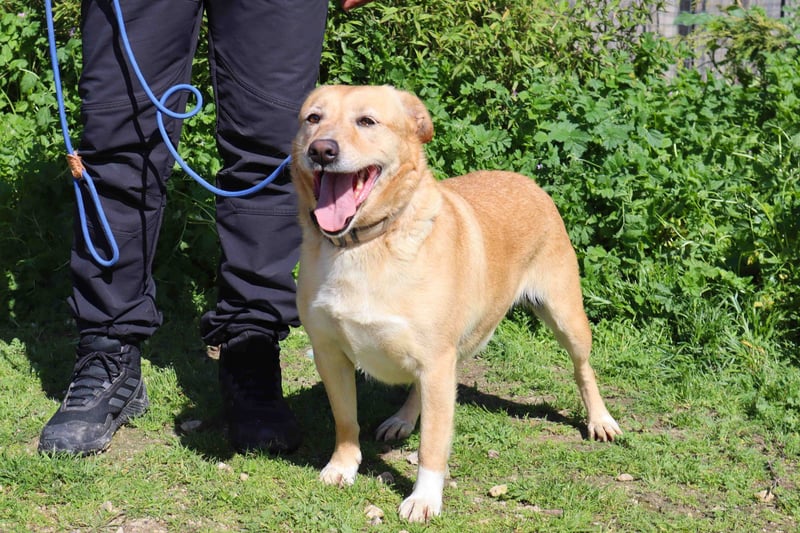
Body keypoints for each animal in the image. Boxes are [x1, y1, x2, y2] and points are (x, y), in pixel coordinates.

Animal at [291, 85, 622, 523]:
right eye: (313, 119)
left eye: (367, 121)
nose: (322, 150)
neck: (365, 245)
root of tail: (523, 178)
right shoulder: (331, 354)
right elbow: (346, 421)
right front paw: (343, 467)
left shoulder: (435, 361)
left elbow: (432, 444)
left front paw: (424, 498)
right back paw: (403, 419)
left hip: (566, 317)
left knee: (584, 370)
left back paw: (600, 419)